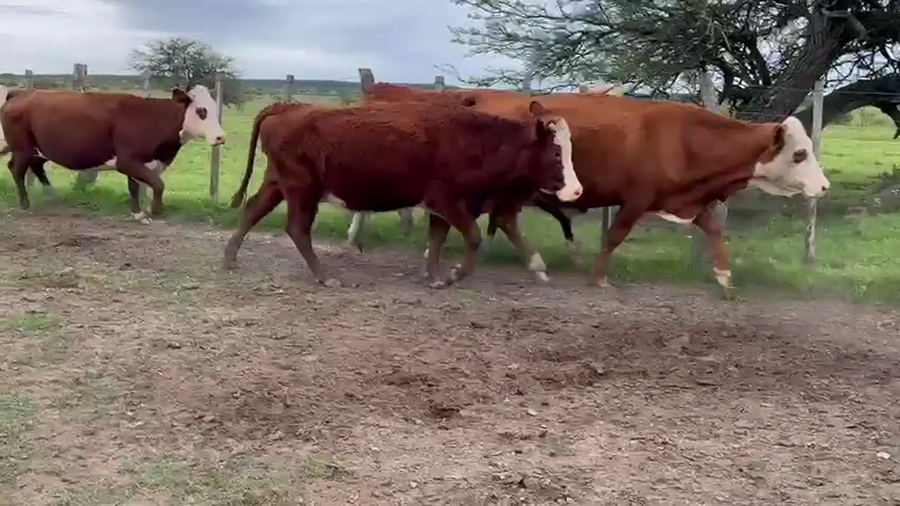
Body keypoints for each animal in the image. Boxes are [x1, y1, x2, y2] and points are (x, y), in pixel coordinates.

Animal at [0, 85, 225, 223]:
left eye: (215, 110)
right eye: (201, 111)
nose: (220, 137)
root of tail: (20, 93)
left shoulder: (140, 163)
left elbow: (134, 187)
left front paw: (138, 213)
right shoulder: (126, 161)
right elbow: (157, 184)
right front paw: (154, 210)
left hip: (38, 150)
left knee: (36, 166)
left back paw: (51, 195)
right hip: (22, 148)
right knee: (16, 169)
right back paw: (25, 204)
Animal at [224, 99, 583, 288]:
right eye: (555, 154)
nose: (577, 190)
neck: (475, 142)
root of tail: (289, 107)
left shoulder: (441, 208)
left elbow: (437, 240)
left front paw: (434, 276)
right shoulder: (447, 201)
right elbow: (474, 237)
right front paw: (455, 273)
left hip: (277, 183)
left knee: (253, 210)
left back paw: (229, 259)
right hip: (302, 189)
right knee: (297, 229)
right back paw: (324, 276)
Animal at [353, 84, 830, 289]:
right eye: (799, 154)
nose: (824, 187)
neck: (683, 137)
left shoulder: (687, 200)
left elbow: (714, 230)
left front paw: (725, 275)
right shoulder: (636, 198)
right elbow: (616, 235)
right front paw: (600, 277)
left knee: (499, 220)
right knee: (500, 219)